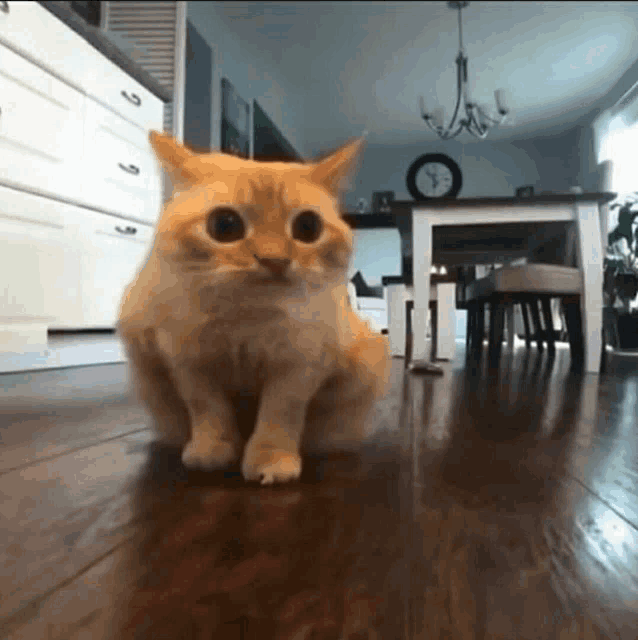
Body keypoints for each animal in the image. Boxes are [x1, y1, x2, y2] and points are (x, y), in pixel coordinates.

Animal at [117, 131, 392, 484]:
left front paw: (271, 460)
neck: (247, 318)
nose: (275, 260)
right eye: (224, 225)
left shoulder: (299, 365)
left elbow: (280, 415)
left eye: (307, 227)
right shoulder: (189, 364)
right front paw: (211, 451)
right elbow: (208, 411)